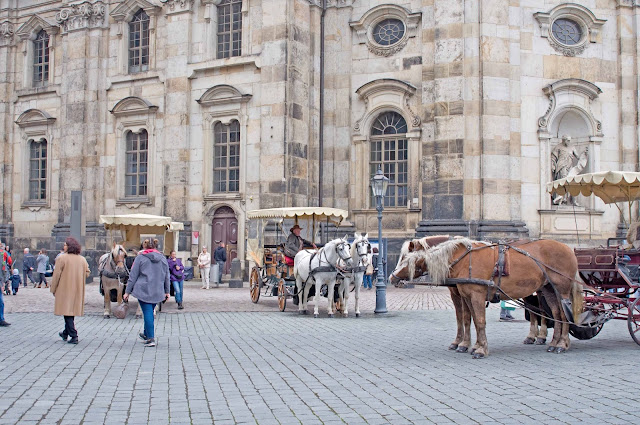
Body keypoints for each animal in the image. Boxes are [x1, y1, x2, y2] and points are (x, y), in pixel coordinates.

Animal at [388, 237, 584, 356]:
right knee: (556, 314)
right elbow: (469, 319)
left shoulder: (476, 295)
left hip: (561, 289)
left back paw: (560, 344)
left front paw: (479, 349)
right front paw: (469, 344)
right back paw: (553, 342)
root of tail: (568, 248)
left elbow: (478, 320)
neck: (463, 259)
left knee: (562, 315)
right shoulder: (464, 295)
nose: (392, 277)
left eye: (406, 258)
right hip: (549, 290)